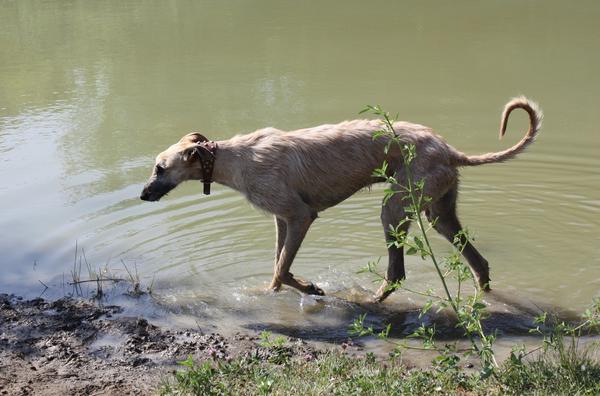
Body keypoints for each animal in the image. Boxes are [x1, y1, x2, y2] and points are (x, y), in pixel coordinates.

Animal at [142, 97, 544, 302]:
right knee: (479, 262)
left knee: (396, 273)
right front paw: (272, 292)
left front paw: (308, 287)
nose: (143, 194)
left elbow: (282, 269)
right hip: (438, 212)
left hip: (394, 208)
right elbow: (276, 271)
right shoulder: (281, 219)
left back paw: (371, 301)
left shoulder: (300, 216)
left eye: (160, 168)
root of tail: (450, 151)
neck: (234, 158)